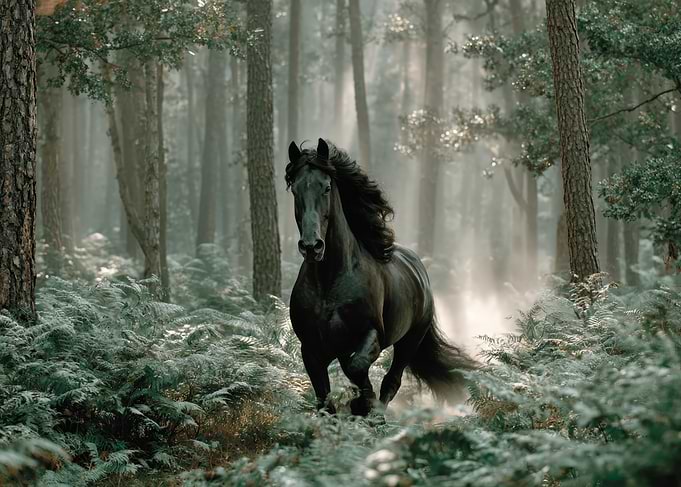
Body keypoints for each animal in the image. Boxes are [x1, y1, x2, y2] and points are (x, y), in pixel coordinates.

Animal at [286, 138, 476, 416]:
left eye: (327, 187)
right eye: (294, 188)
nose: (312, 247)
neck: (329, 280)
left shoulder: (372, 334)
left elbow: (356, 368)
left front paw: (363, 402)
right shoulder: (311, 350)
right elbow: (325, 398)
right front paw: (354, 405)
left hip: (410, 340)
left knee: (392, 379)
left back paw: (375, 412)